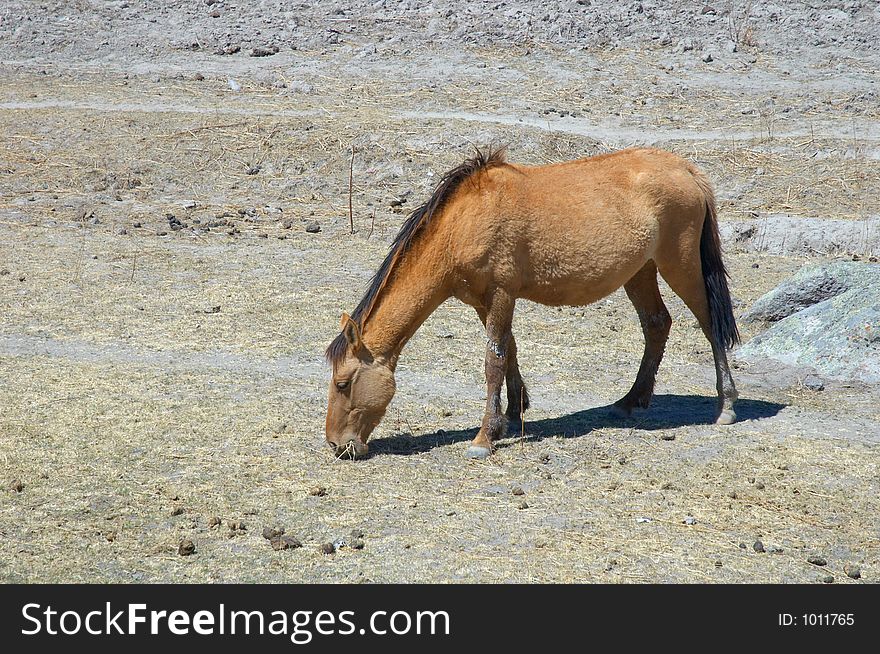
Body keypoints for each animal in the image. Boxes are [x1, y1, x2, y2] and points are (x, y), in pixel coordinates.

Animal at [324, 146, 736, 458]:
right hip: (641, 272)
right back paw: (631, 401)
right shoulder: (483, 302)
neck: (463, 224)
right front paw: (511, 413)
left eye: (343, 383)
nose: (337, 445)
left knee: (709, 325)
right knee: (656, 324)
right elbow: (509, 350)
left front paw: (484, 437)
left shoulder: (500, 294)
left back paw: (726, 406)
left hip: (680, 266)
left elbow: (493, 361)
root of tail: (686, 168)